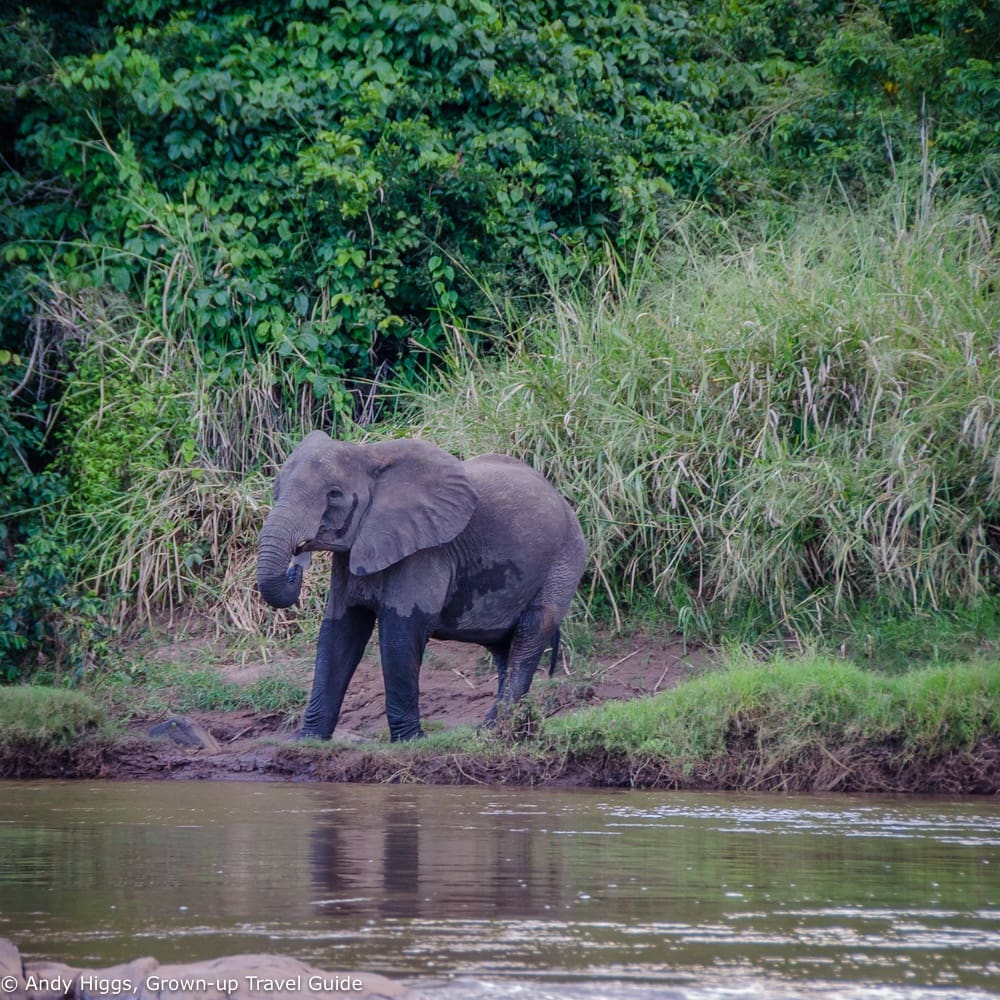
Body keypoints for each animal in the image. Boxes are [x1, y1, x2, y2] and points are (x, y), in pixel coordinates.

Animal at [256, 432, 587, 741]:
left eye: (334, 495)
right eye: (277, 488)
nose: (297, 562)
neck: (370, 457)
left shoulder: (424, 552)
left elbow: (399, 634)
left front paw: (409, 741)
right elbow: (339, 632)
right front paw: (306, 740)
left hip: (565, 558)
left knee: (531, 631)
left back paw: (492, 731)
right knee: (503, 646)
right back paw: (504, 730)